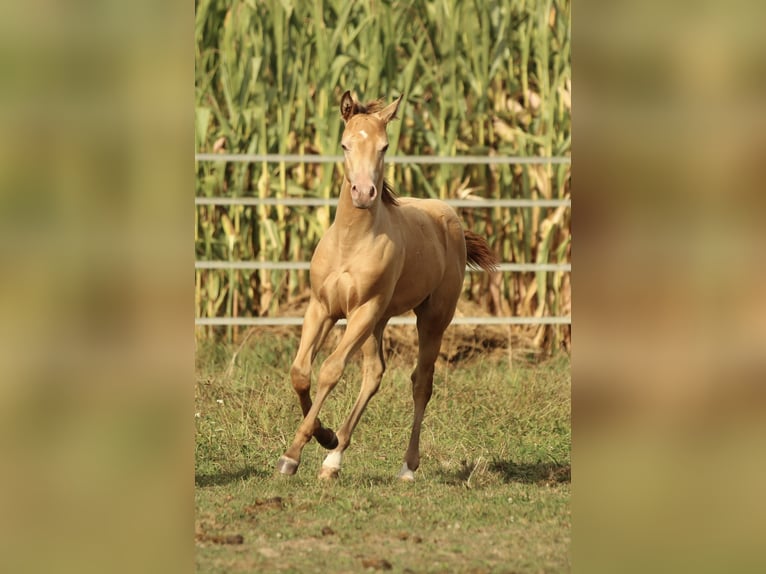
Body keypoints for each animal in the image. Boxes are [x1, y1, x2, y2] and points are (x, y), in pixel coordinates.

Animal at [276, 92, 498, 482]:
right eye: (345, 144)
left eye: (384, 146)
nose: (364, 193)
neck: (350, 244)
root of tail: (450, 218)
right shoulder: (321, 308)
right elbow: (301, 373)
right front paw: (324, 436)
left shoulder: (362, 311)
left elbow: (330, 370)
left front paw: (294, 454)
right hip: (377, 323)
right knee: (374, 374)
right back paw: (333, 459)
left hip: (429, 318)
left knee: (421, 382)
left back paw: (407, 467)